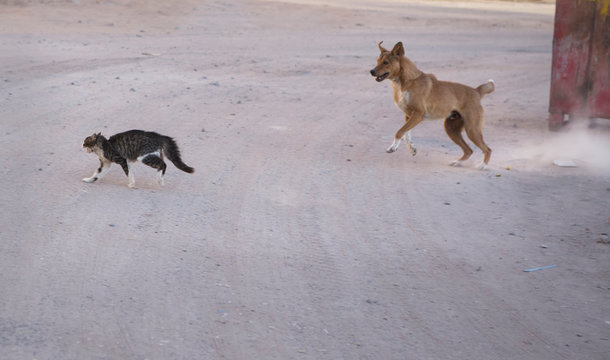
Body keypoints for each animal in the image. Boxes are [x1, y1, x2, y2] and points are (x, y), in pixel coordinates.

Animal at [368, 41, 492, 169]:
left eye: (385, 62)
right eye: (377, 61)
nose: (371, 71)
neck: (406, 82)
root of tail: (476, 91)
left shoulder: (418, 114)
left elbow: (399, 132)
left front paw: (393, 147)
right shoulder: (409, 115)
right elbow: (406, 133)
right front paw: (411, 148)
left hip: (472, 129)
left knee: (487, 149)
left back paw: (482, 166)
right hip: (451, 129)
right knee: (469, 150)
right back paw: (457, 162)